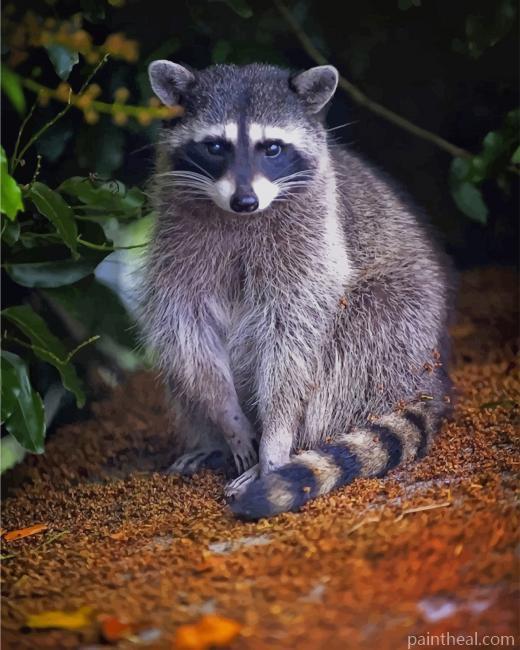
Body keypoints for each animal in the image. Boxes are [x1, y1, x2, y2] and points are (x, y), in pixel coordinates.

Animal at [138, 60, 452, 520]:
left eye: (272, 148)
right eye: (215, 146)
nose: (245, 201)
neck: (242, 217)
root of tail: (425, 380)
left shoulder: (313, 238)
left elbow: (295, 340)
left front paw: (277, 439)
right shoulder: (177, 235)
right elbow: (187, 327)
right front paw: (229, 421)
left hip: (401, 325)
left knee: (358, 336)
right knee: (182, 367)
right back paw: (213, 442)